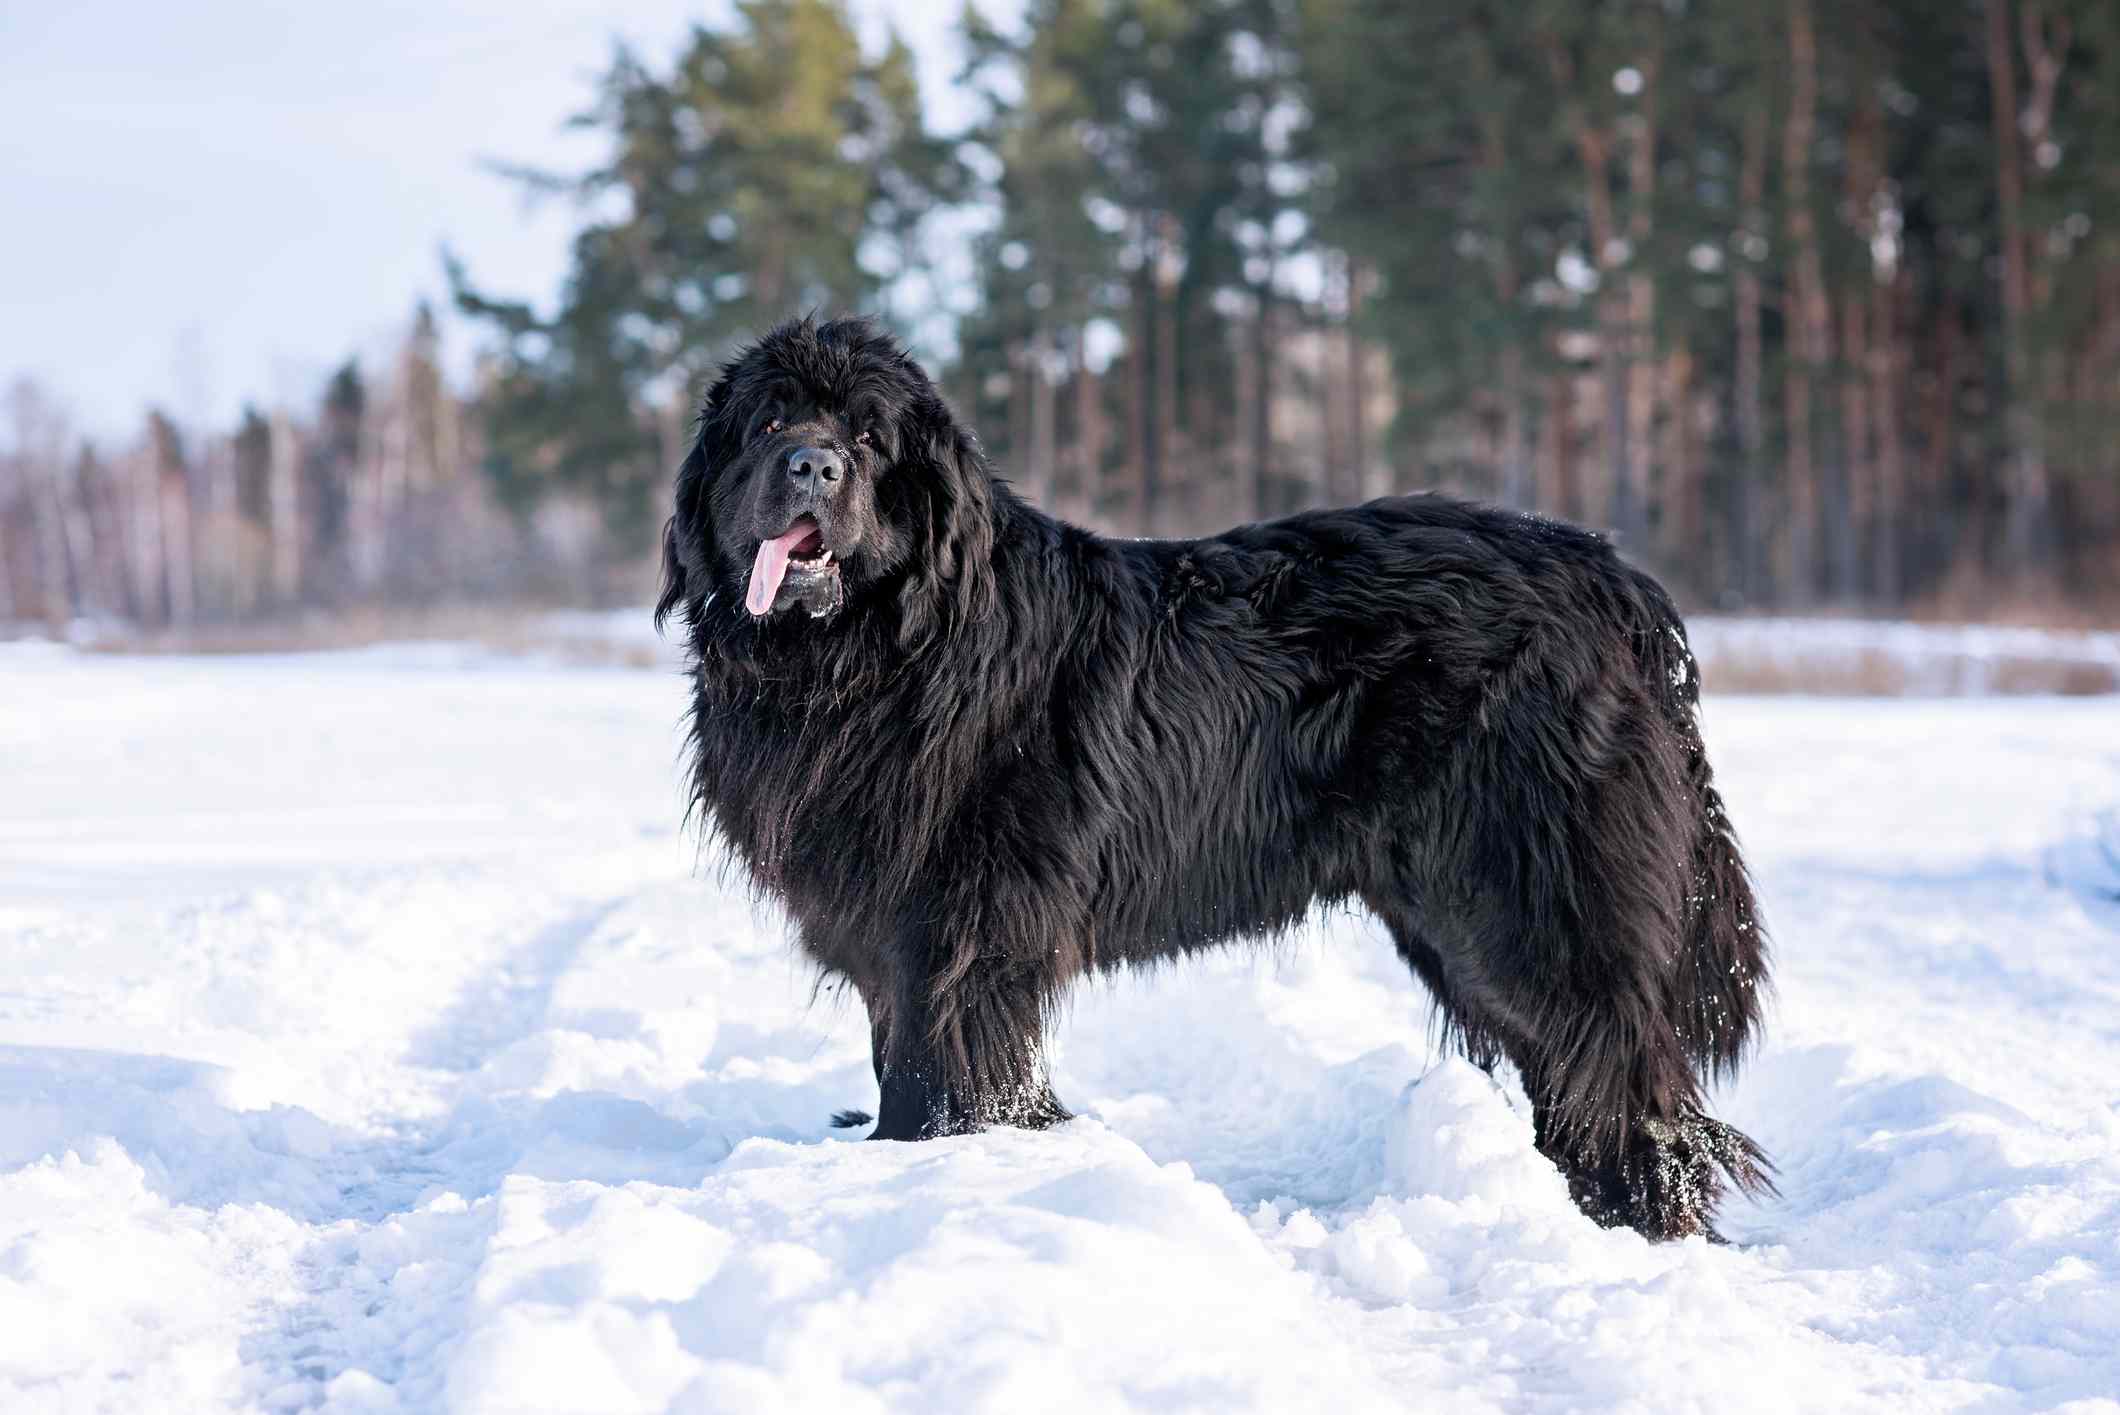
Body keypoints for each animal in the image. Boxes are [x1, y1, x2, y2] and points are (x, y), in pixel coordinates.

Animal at [665, 318, 1772, 1238]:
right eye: (770, 418)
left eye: (869, 437)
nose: (810, 463)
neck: (867, 656)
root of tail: (1609, 577)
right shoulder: (893, 929)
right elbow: (904, 1051)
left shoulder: (960, 929)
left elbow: (942, 1071)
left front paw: (929, 1167)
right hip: (1457, 915)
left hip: (1524, 895)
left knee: (1621, 1071)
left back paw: (1633, 1221)